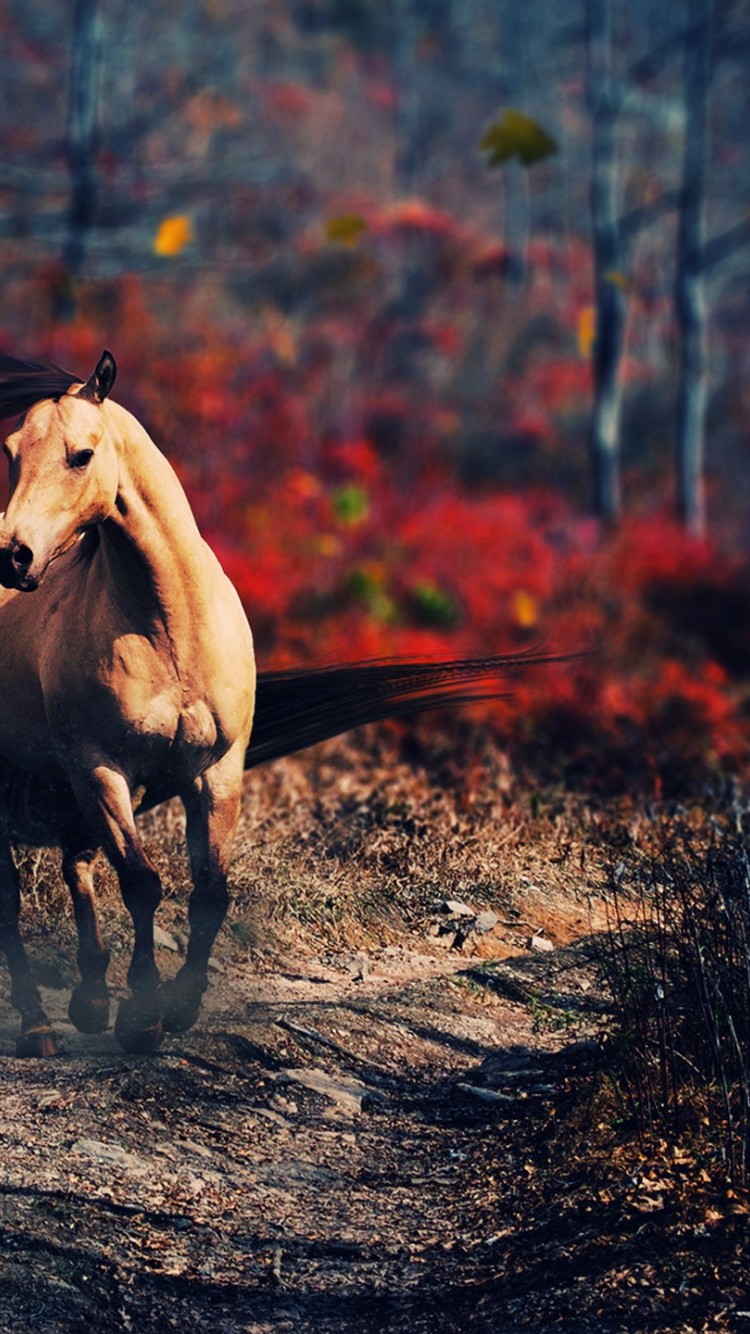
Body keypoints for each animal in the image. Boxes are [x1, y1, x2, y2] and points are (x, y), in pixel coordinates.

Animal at [0, 350, 568, 1057]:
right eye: (13, 453)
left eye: (81, 455)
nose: (13, 555)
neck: (166, 627)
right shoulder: (102, 769)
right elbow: (141, 883)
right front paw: (143, 1017)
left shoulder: (215, 770)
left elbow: (209, 892)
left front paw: (177, 1007)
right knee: (13, 903)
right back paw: (38, 1026)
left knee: (74, 866)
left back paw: (88, 1002)